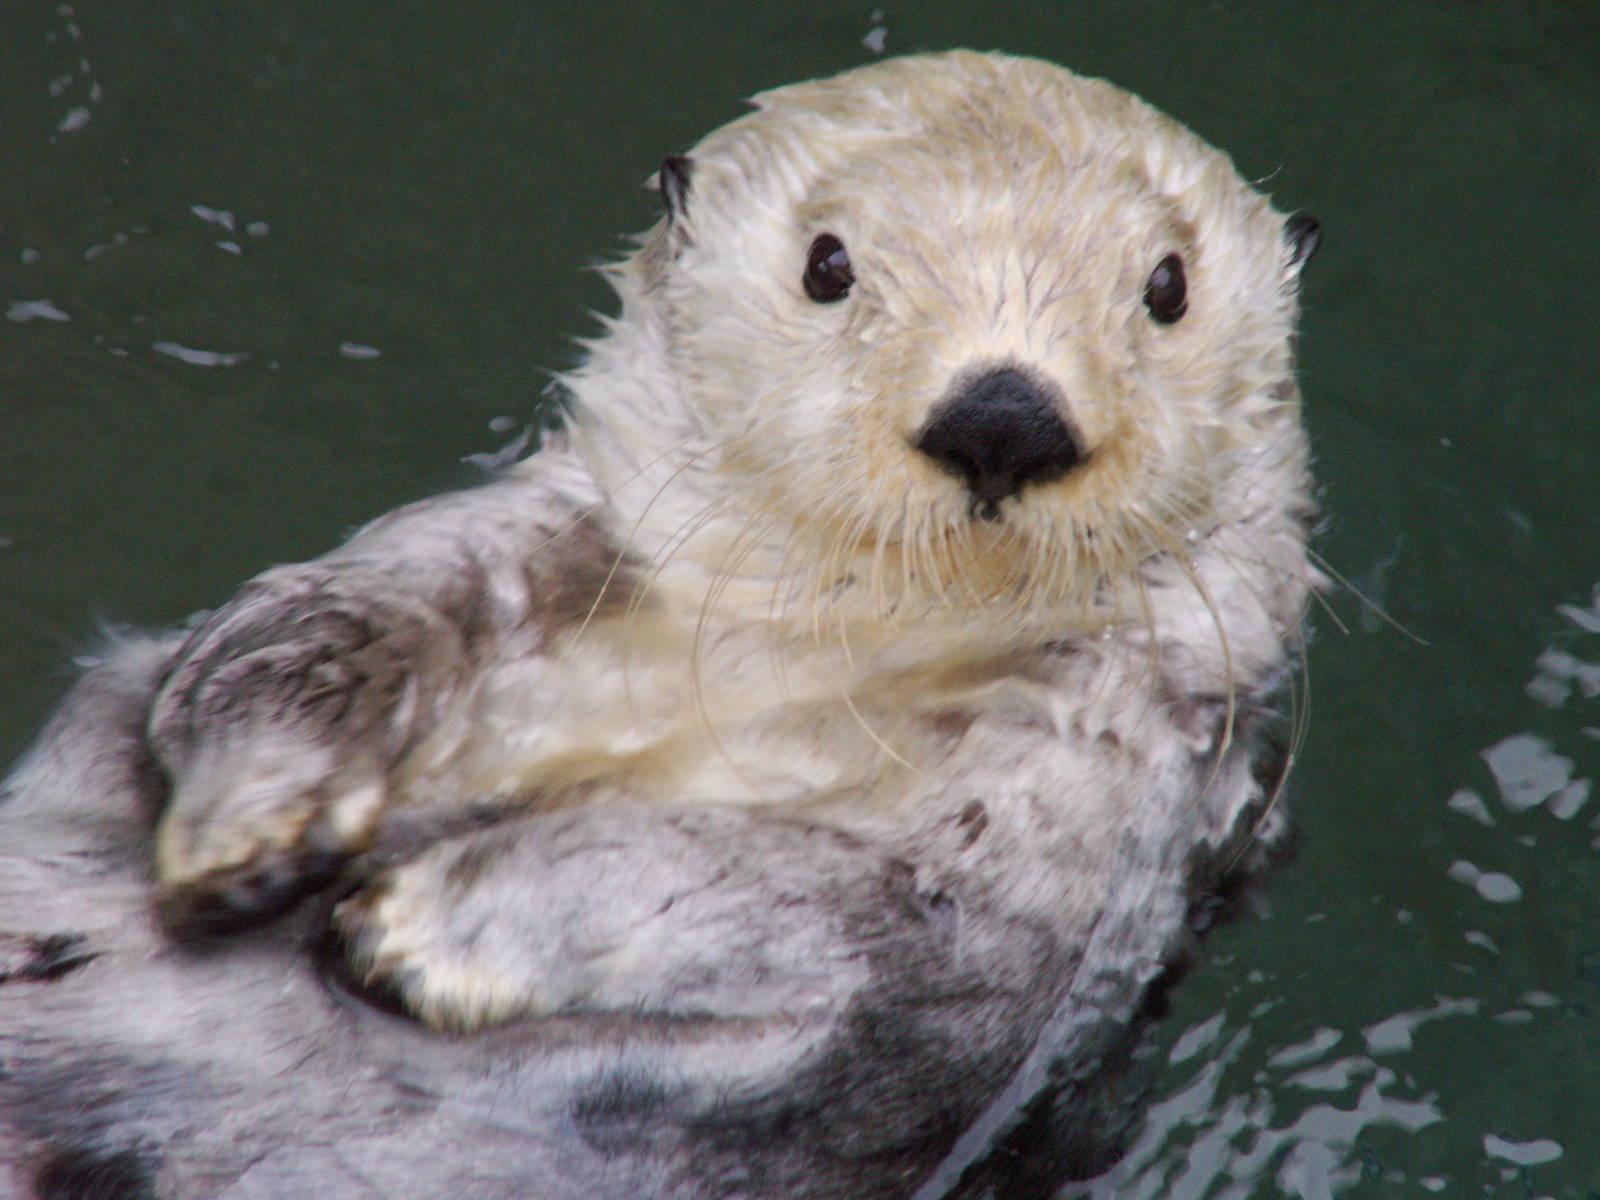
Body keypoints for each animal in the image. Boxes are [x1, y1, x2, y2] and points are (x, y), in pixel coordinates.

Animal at [0, 51, 1320, 1199]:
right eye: (827, 264)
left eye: (1166, 287)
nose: (1004, 414)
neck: (804, 656)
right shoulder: (526, 543)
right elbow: (282, 638)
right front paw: (249, 828)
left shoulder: (1079, 827)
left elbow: (846, 917)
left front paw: (417, 924)